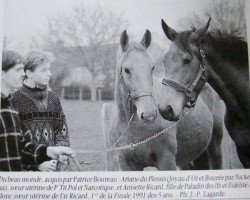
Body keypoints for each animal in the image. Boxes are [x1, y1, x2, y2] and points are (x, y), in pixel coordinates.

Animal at [102, 29, 224, 170]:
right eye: (126, 70)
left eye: (152, 68)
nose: (149, 114)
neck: (131, 125)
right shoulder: (127, 164)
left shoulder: (166, 161)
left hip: (215, 146)